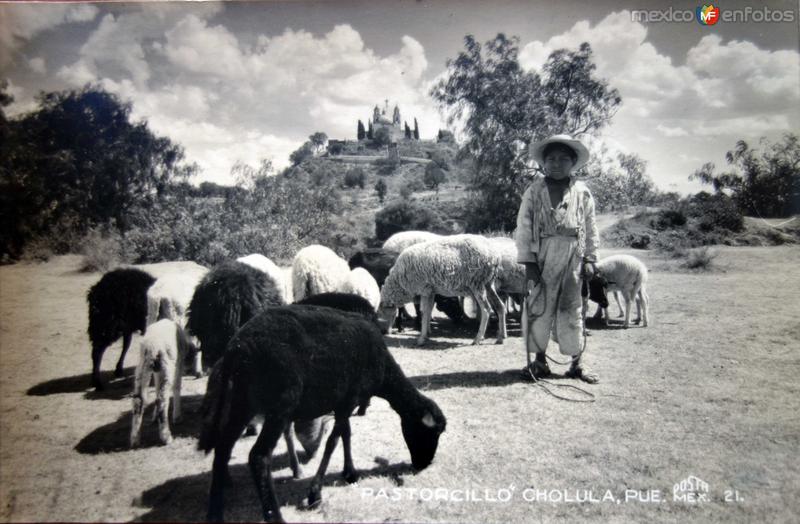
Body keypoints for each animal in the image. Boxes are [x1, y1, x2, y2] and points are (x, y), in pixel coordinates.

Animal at [130, 318, 196, 448]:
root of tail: (152, 347)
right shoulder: (178, 363)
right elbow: (177, 387)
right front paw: (177, 416)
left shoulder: (157, 371)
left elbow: (156, 389)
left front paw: (154, 416)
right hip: (167, 365)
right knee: (162, 400)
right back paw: (166, 436)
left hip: (143, 367)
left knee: (139, 399)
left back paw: (135, 439)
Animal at [194, 304, 444, 520]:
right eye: (429, 433)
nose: (423, 465)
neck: (384, 370)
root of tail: (235, 350)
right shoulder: (348, 400)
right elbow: (333, 441)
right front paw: (315, 493)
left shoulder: (345, 402)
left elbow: (345, 434)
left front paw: (350, 472)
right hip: (279, 404)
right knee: (258, 457)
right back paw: (275, 516)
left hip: (242, 402)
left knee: (223, 449)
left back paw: (215, 514)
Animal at [376, 235, 504, 346]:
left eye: (382, 313)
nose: (383, 332)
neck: (399, 281)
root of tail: (496, 256)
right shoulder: (431, 290)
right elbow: (428, 311)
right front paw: (427, 332)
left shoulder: (425, 289)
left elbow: (424, 312)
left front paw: (422, 338)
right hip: (488, 283)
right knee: (500, 306)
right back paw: (501, 337)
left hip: (477, 283)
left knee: (486, 309)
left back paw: (478, 339)